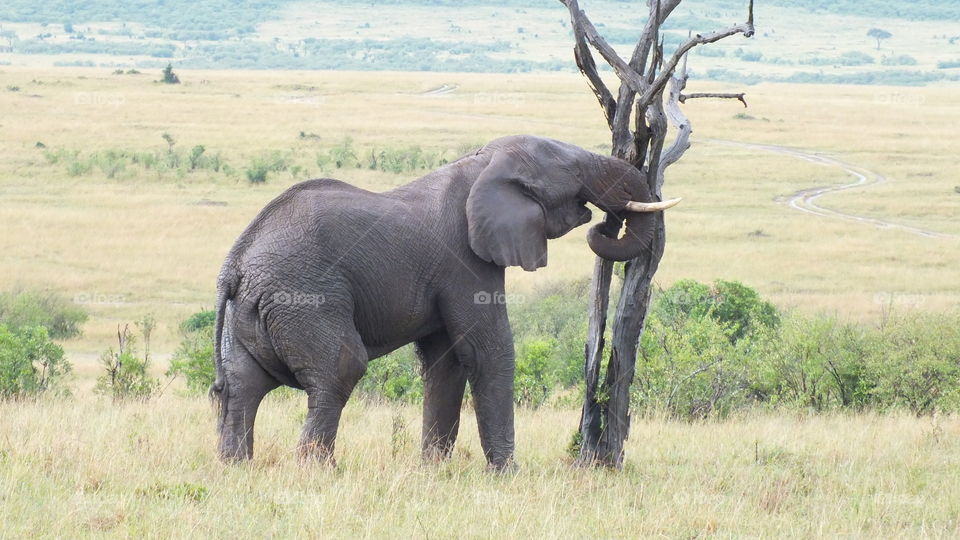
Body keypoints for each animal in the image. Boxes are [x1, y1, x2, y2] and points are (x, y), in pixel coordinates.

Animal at [210, 134, 679, 470]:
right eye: (574, 169)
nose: (603, 222)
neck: (481, 162)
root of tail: (235, 265)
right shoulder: (466, 259)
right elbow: (487, 350)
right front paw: (507, 475)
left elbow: (446, 362)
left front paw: (432, 469)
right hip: (304, 295)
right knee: (341, 368)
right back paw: (319, 471)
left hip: (252, 309)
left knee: (243, 383)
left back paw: (236, 467)